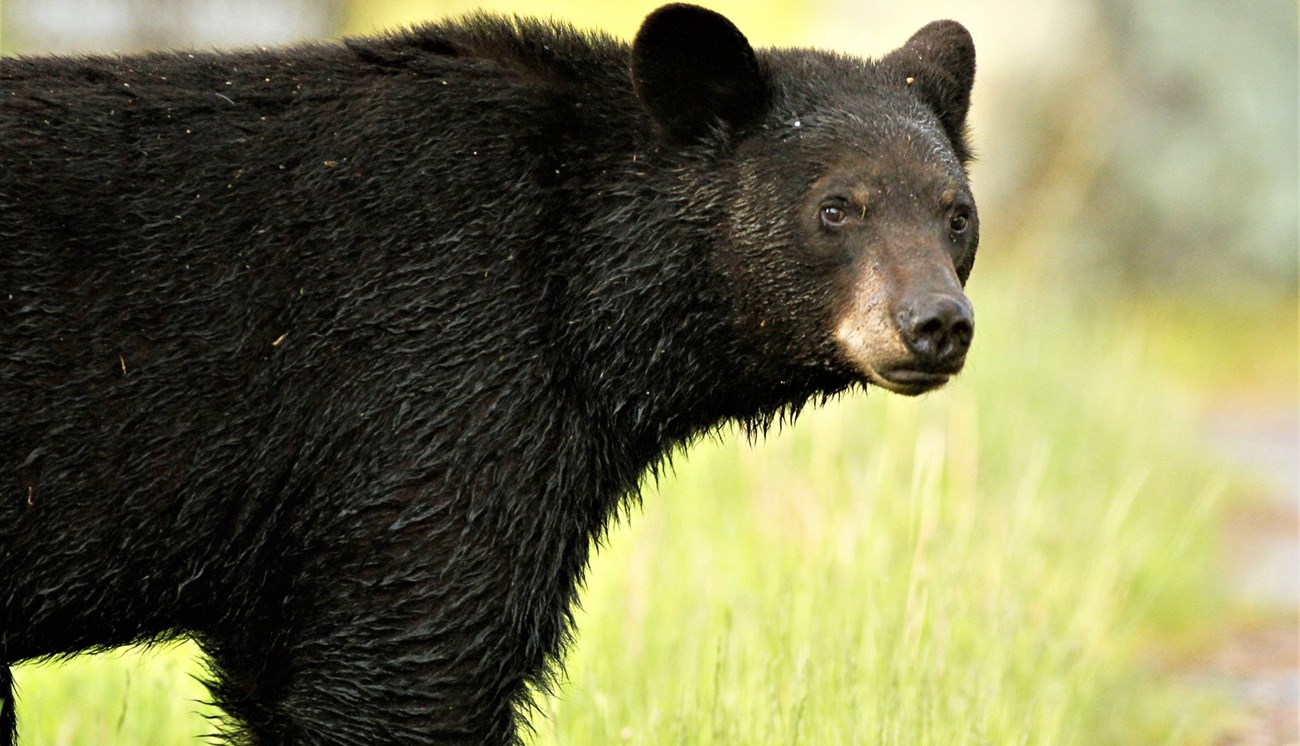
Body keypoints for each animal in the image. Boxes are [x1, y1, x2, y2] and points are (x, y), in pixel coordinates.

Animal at [0, 2, 977, 743]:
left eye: (955, 212)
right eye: (836, 209)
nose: (937, 323)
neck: (578, 284)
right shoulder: (433, 377)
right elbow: (414, 656)